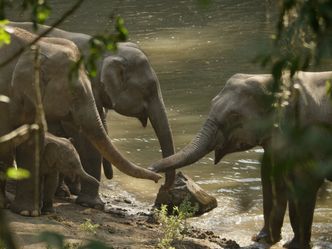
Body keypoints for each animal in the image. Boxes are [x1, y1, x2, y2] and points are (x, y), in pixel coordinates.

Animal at [149, 70, 332, 249]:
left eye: (234, 116)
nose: (152, 171)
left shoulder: (311, 135)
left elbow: (304, 182)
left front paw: (293, 246)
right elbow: (272, 176)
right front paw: (262, 239)